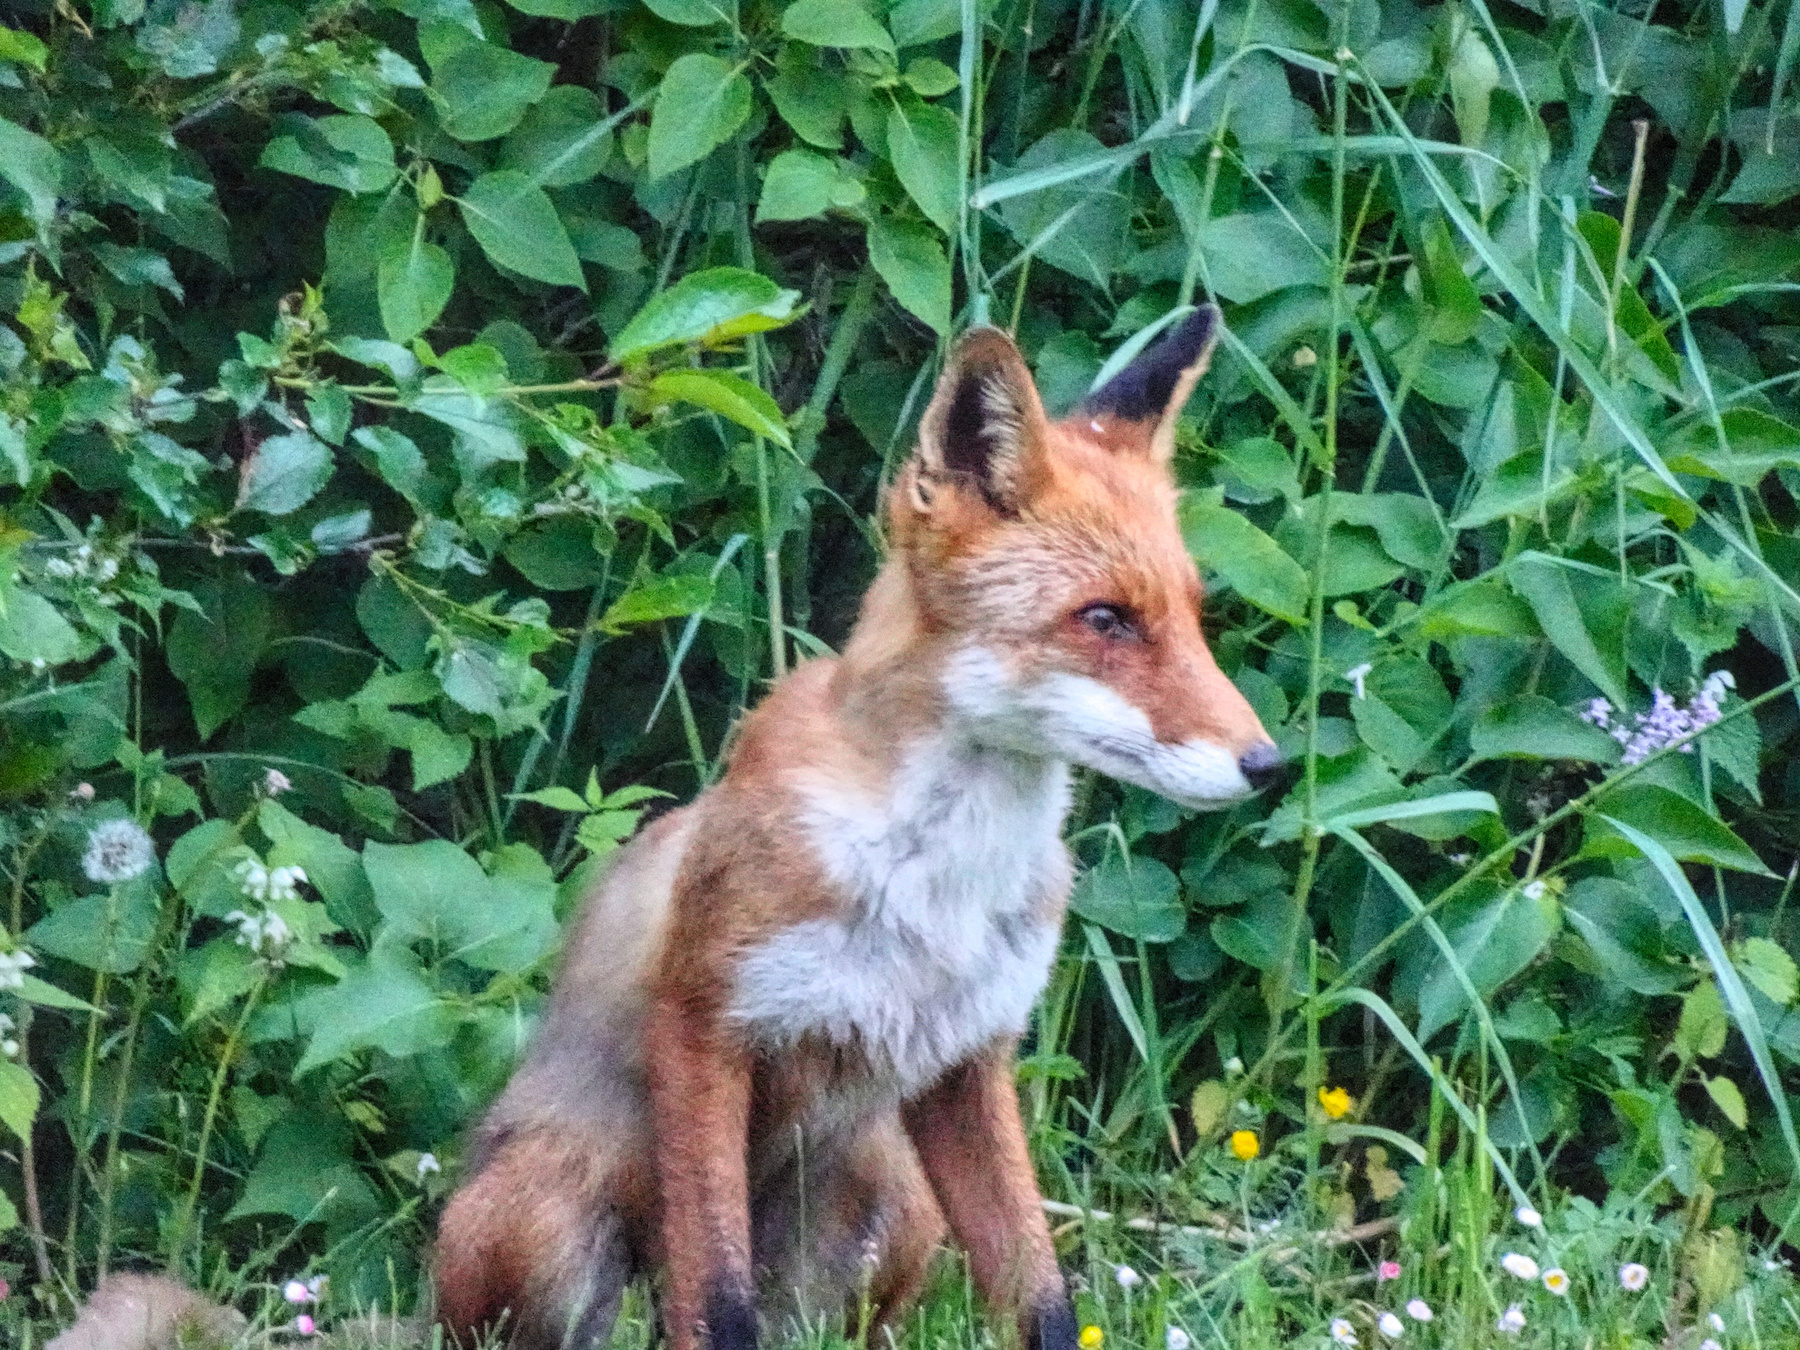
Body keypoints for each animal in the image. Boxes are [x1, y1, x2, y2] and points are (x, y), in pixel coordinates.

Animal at [433, 306, 1281, 1350]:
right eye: (1106, 619)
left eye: (1196, 618)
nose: (1269, 765)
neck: (941, 880)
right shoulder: (703, 1026)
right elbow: (717, 1296)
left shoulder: (970, 1061)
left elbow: (1042, 1297)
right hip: (545, 1212)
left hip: (899, 1203)